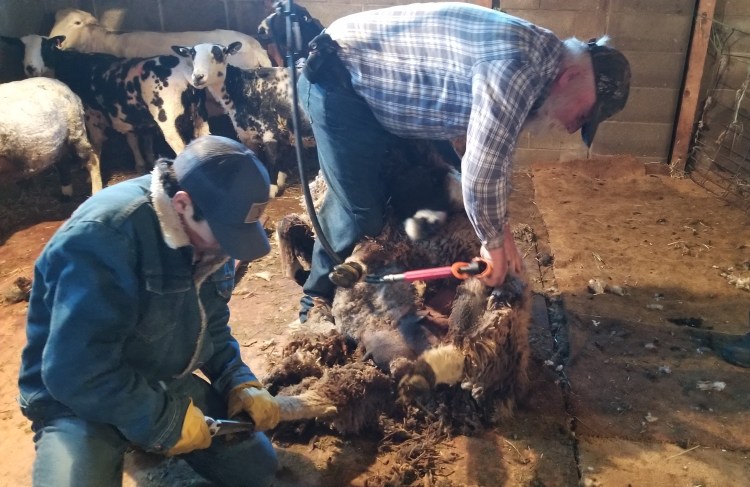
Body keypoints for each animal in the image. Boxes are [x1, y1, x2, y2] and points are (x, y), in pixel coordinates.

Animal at [19, 34, 209, 173]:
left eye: (45, 48)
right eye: (21, 49)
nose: (30, 68)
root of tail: (185, 73)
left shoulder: (92, 117)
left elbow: (98, 148)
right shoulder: (132, 117)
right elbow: (137, 142)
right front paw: (143, 165)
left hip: (169, 122)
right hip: (200, 117)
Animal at [173, 41, 318, 197]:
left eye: (218, 54)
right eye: (192, 54)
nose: (198, 77)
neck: (241, 88)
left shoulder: (269, 130)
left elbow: (271, 159)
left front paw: (272, 188)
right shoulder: (248, 135)